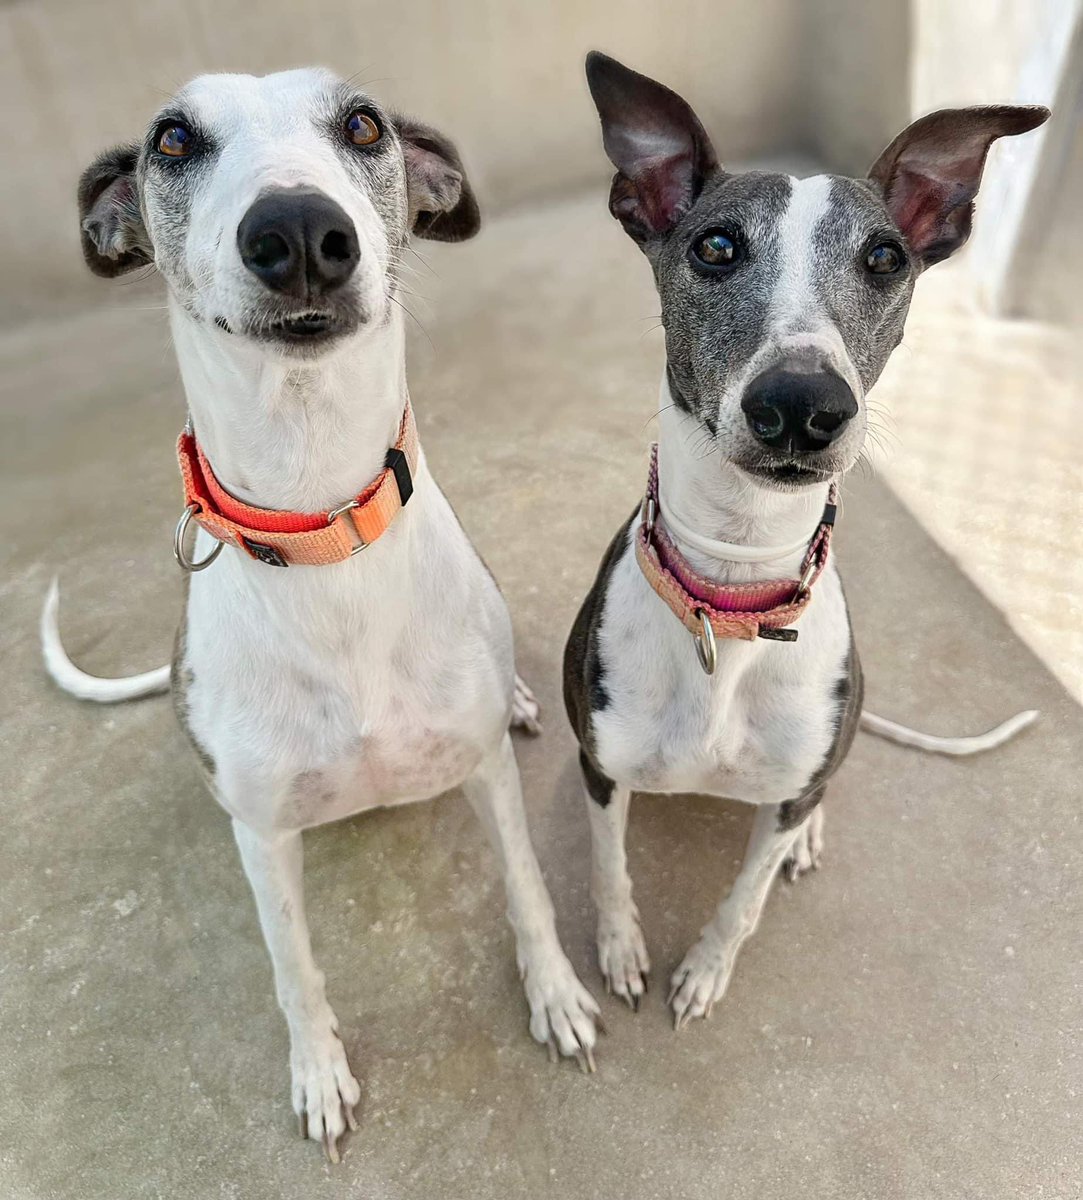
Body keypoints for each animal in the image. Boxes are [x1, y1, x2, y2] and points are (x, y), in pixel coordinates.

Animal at [40, 68, 602, 1161]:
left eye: (364, 124)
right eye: (173, 139)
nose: (299, 230)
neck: (323, 530)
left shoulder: (485, 772)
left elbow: (527, 891)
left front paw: (556, 996)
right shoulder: (262, 837)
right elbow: (294, 969)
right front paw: (318, 1074)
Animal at [564, 54, 1046, 1032]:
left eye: (883, 257)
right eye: (714, 247)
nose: (800, 405)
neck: (730, 588)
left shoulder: (785, 791)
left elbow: (743, 901)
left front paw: (705, 969)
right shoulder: (602, 768)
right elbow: (607, 865)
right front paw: (620, 949)